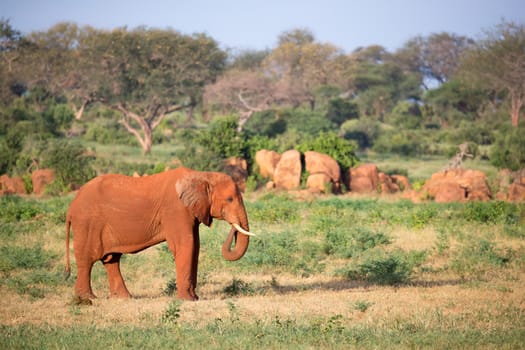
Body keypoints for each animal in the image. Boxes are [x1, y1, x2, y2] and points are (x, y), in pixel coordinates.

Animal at [65, 167, 254, 300]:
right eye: (229, 199)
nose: (233, 226)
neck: (201, 175)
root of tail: (71, 206)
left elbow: (196, 247)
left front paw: (195, 298)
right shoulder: (175, 210)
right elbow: (186, 245)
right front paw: (187, 300)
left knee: (111, 260)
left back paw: (125, 298)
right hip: (86, 223)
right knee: (87, 260)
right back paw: (87, 298)